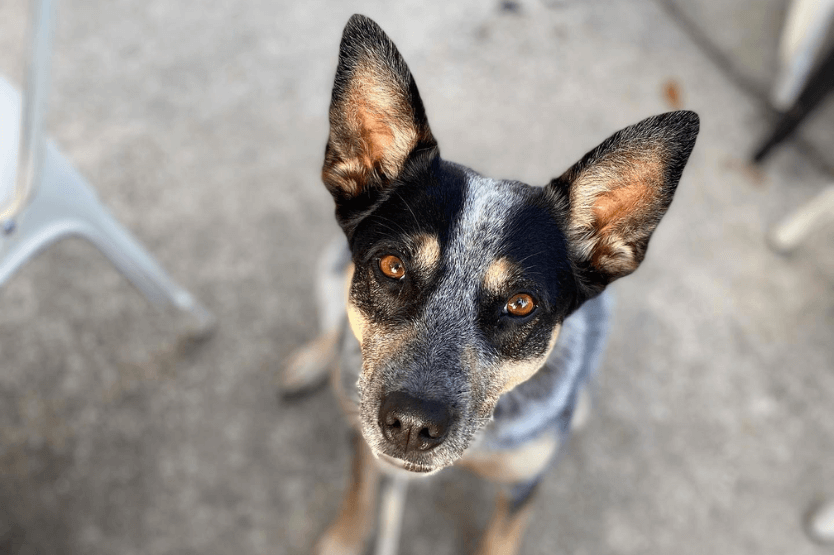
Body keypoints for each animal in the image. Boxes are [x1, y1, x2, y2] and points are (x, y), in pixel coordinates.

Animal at [282, 14, 700, 555]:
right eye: (392, 267)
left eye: (521, 304)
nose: (411, 425)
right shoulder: (364, 438)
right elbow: (359, 492)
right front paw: (343, 539)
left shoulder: (523, 484)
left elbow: (499, 536)